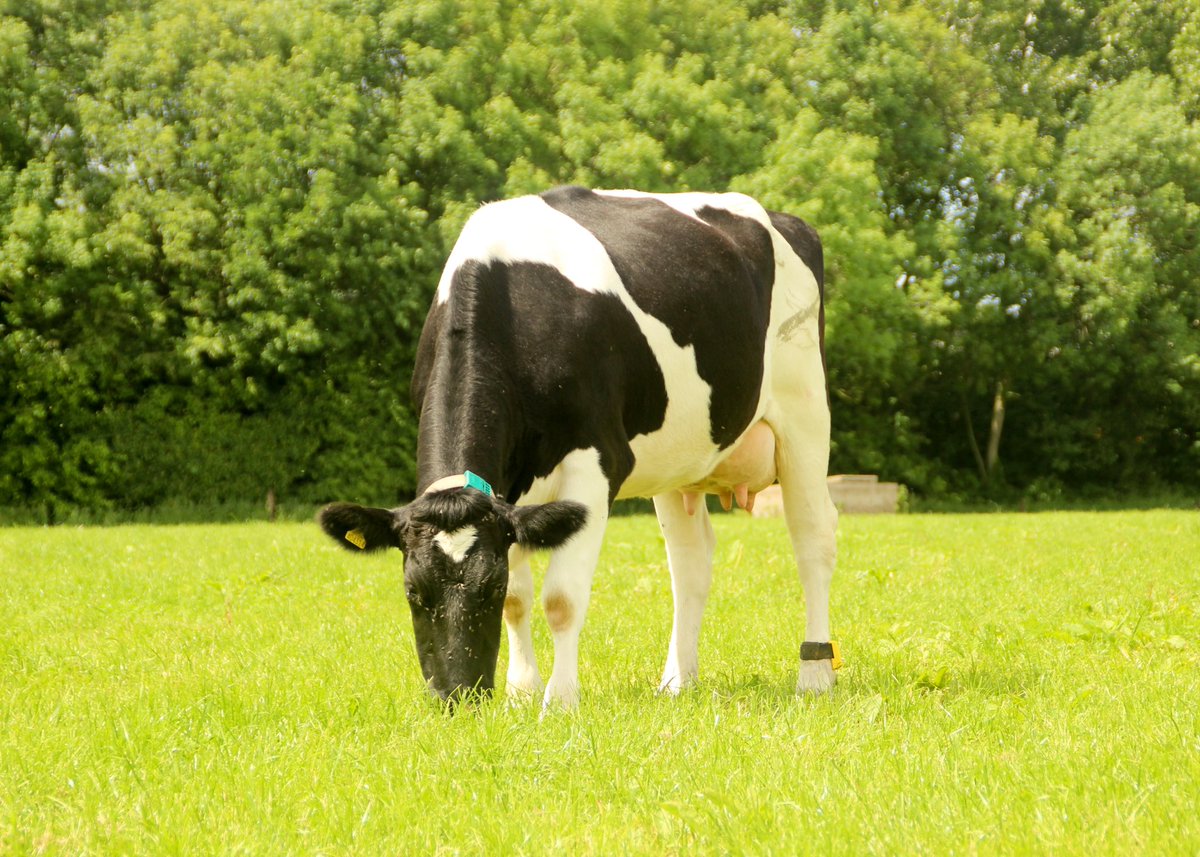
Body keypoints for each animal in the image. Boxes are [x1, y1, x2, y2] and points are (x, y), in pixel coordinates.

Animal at [318, 185, 839, 707]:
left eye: (487, 589)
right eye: (413, 592)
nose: (459, 697)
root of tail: (788, 220)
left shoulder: (596, 465)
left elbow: (561, 599)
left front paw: (560, 700)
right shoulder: (512, 494)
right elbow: (521, 599)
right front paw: (521, 692)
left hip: (805, 412)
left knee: (813, 538)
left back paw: (814, 676)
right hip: (680, 456)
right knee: (690, 559)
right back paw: (677, 681)